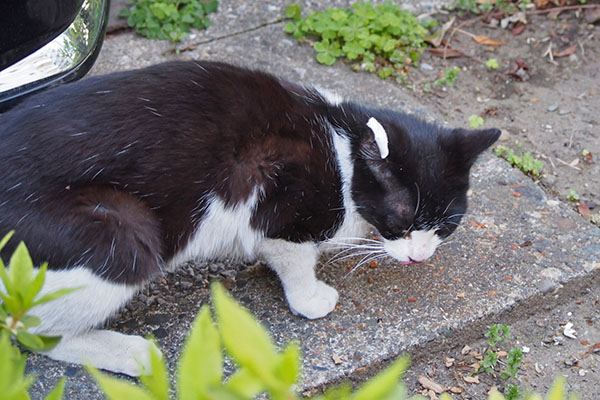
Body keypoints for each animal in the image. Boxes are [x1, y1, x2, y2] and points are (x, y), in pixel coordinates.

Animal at [0, 61, 502, 376]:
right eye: (402, 218)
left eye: (445, 226)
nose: (419, 256)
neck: (341, 147)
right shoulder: (282, 205)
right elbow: (294, 257)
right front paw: (309, 297)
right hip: (123, 231)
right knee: (31, 328)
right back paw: (129, 352)